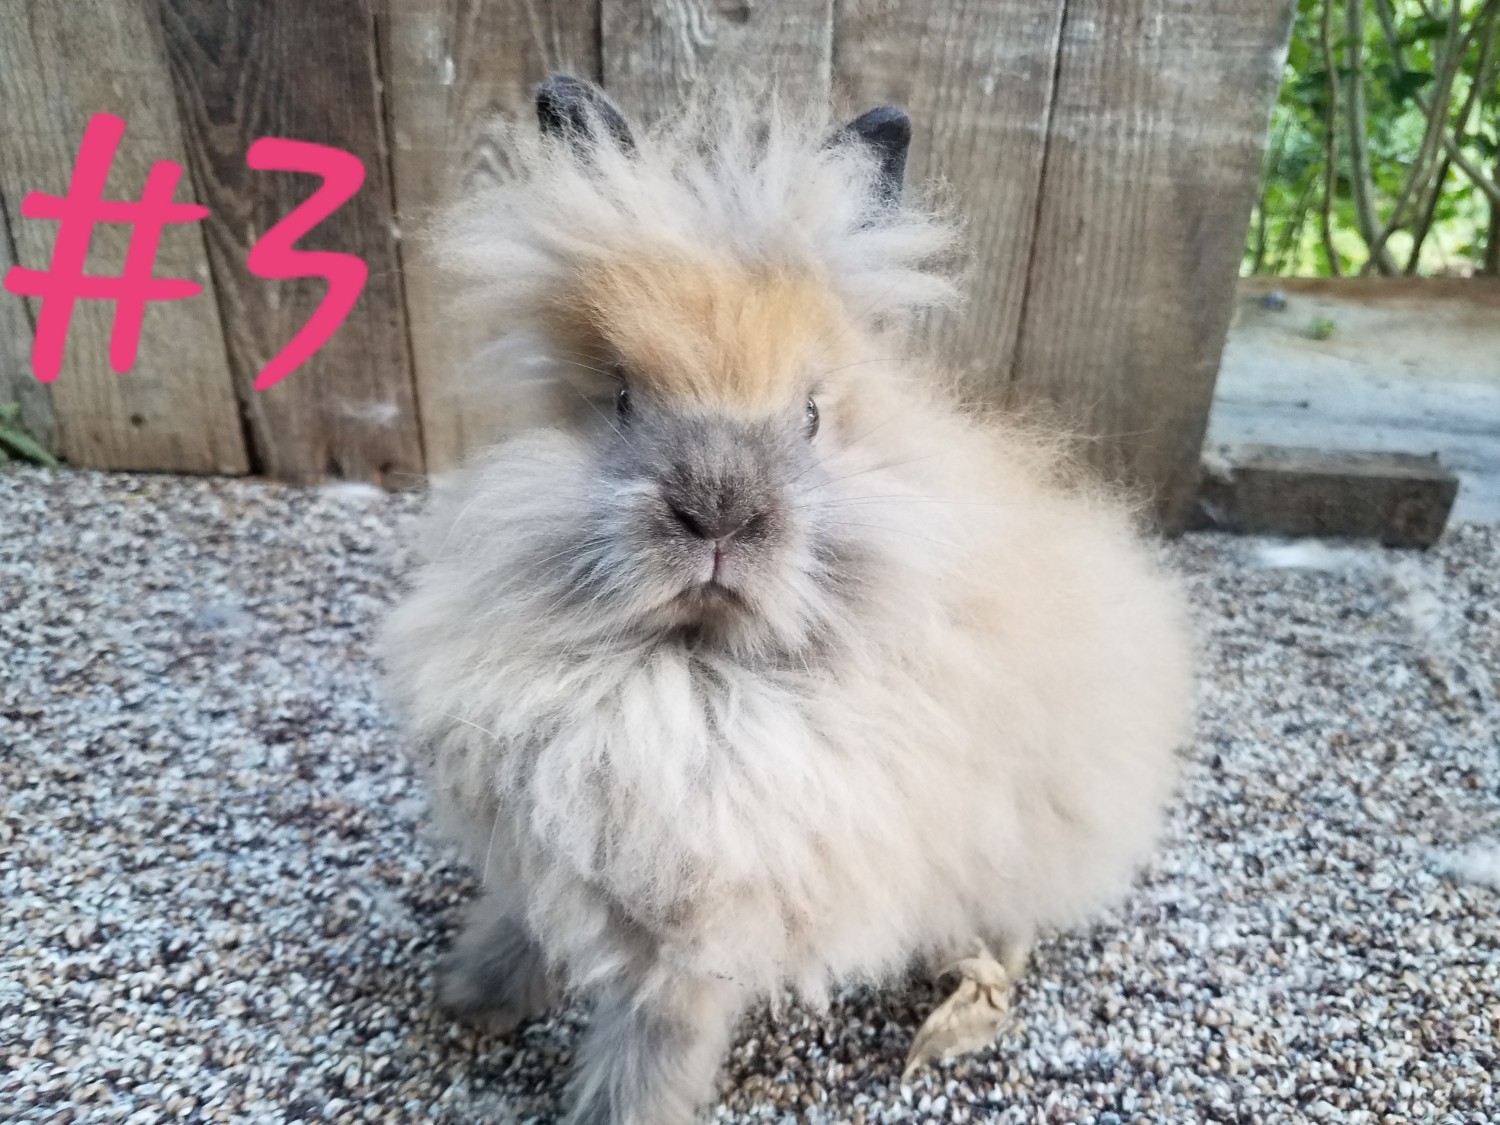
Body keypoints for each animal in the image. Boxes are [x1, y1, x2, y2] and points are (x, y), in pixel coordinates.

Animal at [380, 75, 1195, 1125]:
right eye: (621, 400)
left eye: (810, 414)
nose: (718, 510)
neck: (688, 674)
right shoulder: (548, 853)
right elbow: (525, 920)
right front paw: (471, 996)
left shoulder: (702, 924)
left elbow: (656, 1037)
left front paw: (620, 1112)